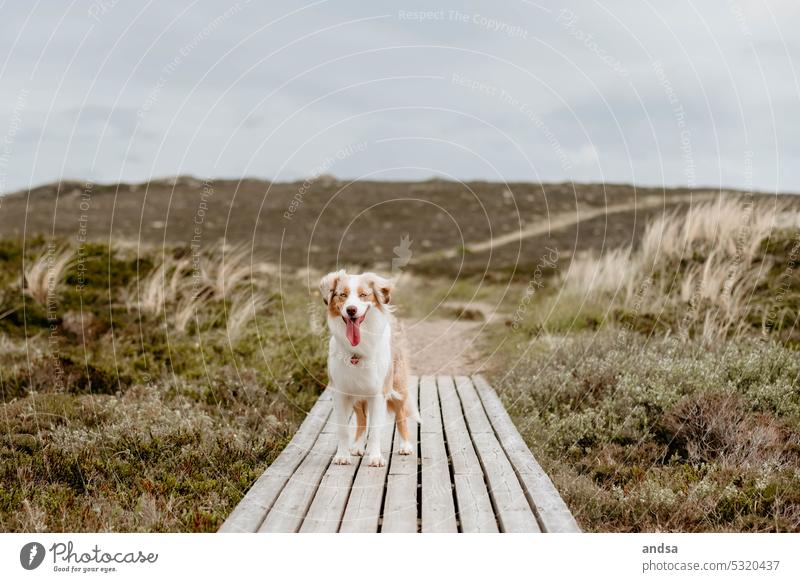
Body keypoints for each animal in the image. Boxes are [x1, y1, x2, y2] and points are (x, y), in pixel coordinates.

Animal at [318, 270, 422, 470]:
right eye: (342, 295)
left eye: (363, 295)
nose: (351, 310)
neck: (357, 351)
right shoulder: (341, 392)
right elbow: (343, 429)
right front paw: (342, 456)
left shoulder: (378, 393)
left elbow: (375, 429)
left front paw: (375, 457)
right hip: (358, 392)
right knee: (361, 419)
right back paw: (358, 446)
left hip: (398, 384)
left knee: (401, 414)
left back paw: (405, 445)